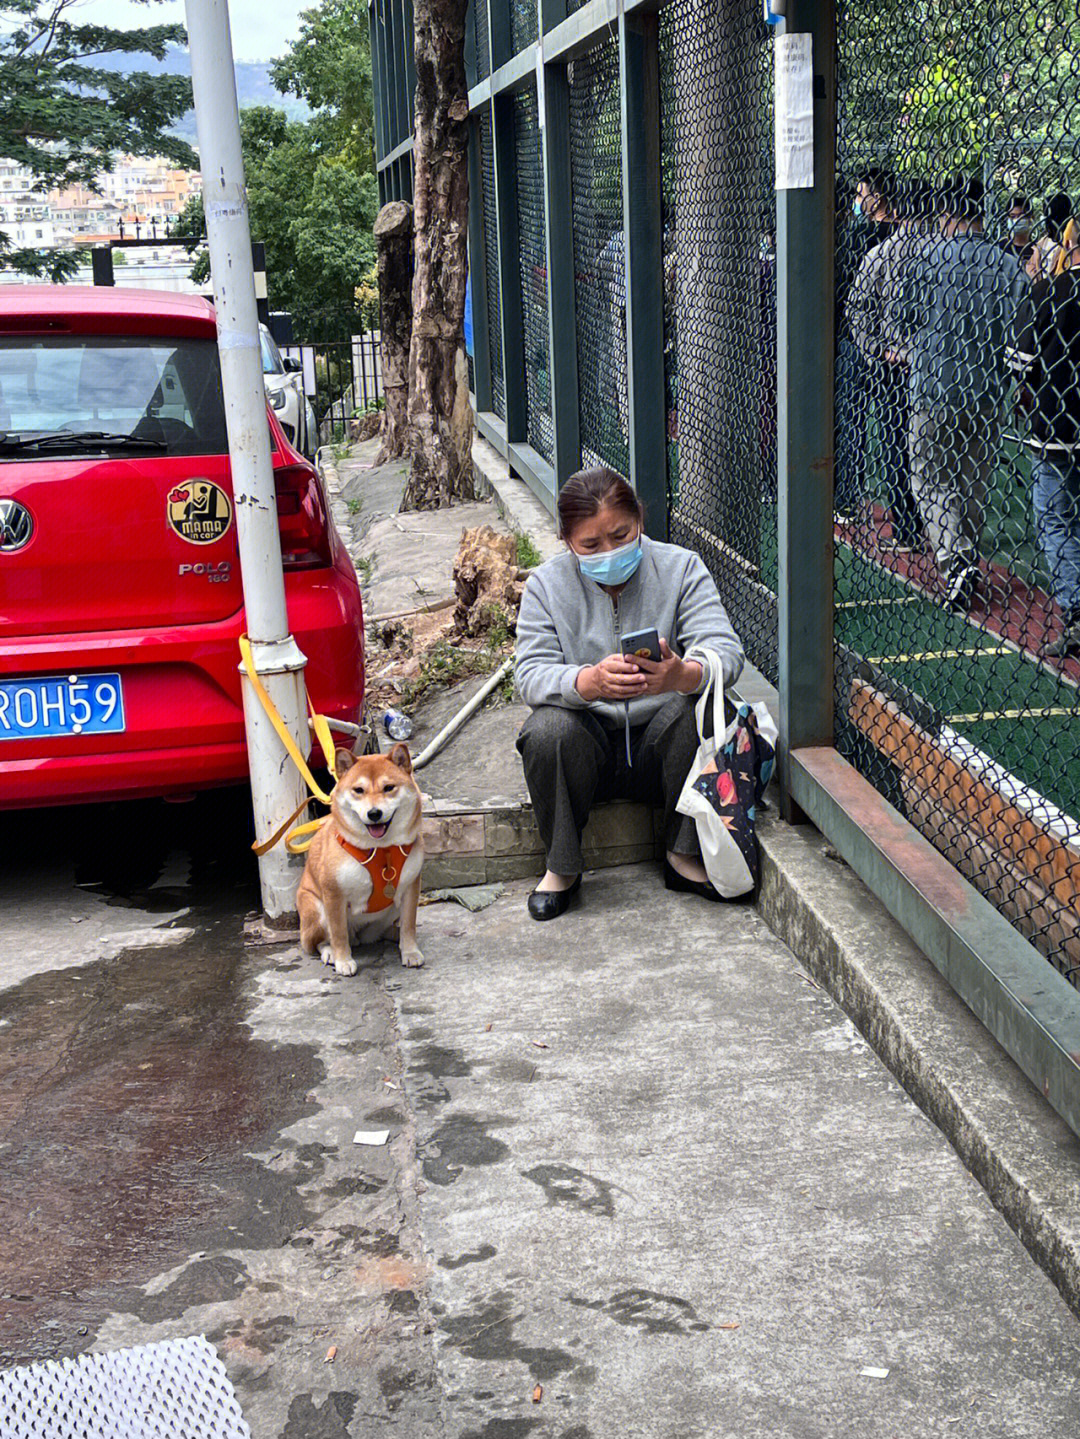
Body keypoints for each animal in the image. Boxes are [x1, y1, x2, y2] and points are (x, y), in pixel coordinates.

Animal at [301, 748, 428, 972]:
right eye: (358, 790)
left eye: (388, 788)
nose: (374, 813)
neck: (381, 850)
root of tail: (360, 936)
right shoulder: (333, 894)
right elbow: (338, 933)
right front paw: (343, 960)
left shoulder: (411, 888)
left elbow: (409, 925)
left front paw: (410, 951)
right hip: (315, 910)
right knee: (320, 941)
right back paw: (330, 952)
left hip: (390, 913)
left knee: (386, 931)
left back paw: (394, 936)